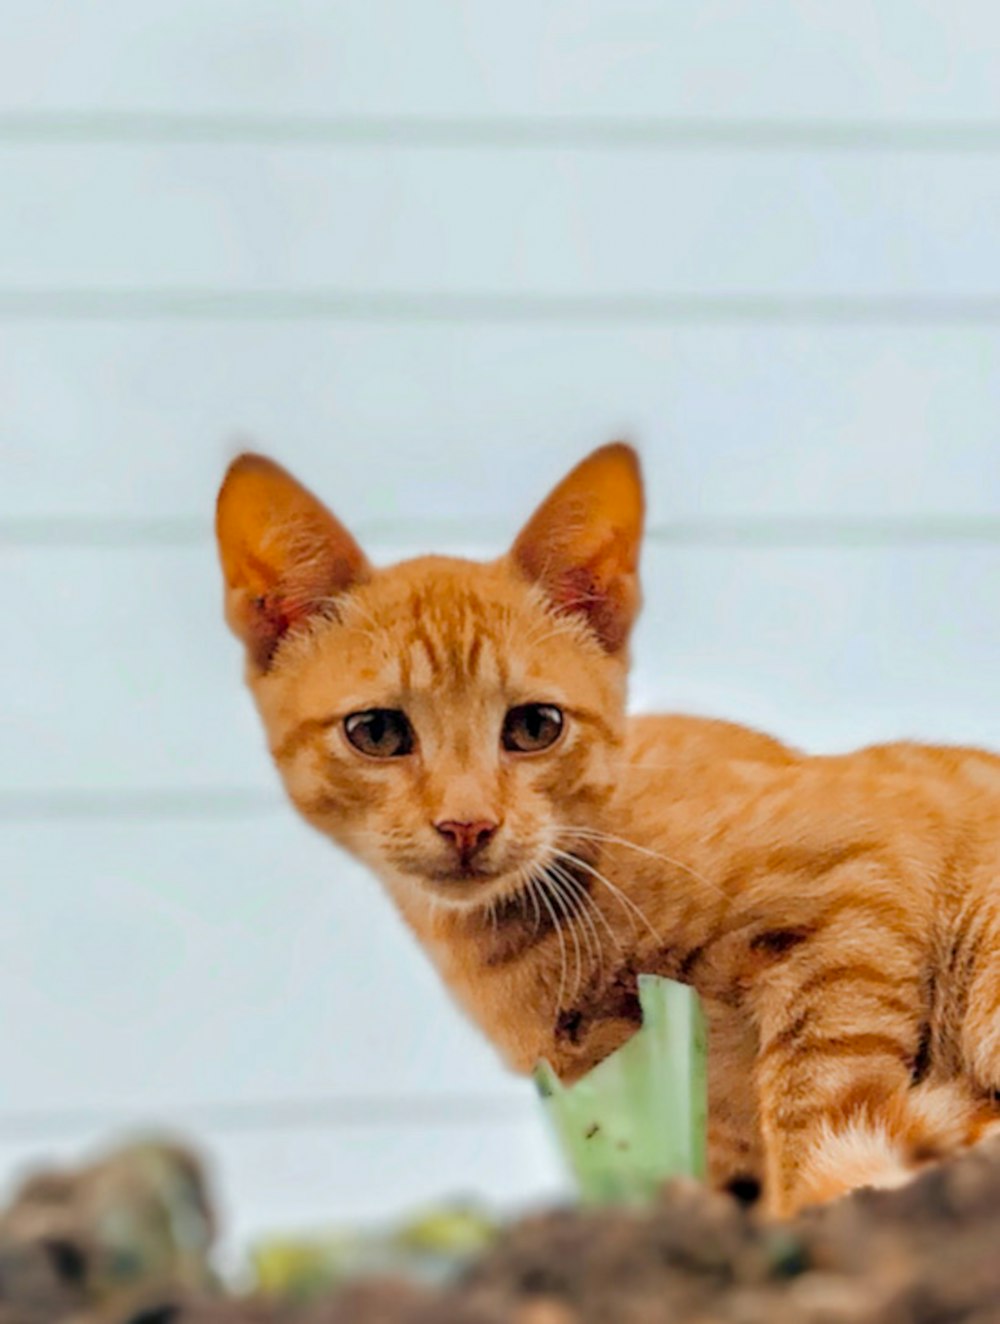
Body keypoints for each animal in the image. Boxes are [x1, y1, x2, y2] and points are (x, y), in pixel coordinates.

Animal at [214, 447, 1000, 1218]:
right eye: (377, 732)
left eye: (535, 726)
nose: (467, 823)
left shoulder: (862, 885)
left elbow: (818, 1098)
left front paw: (810, 1200)